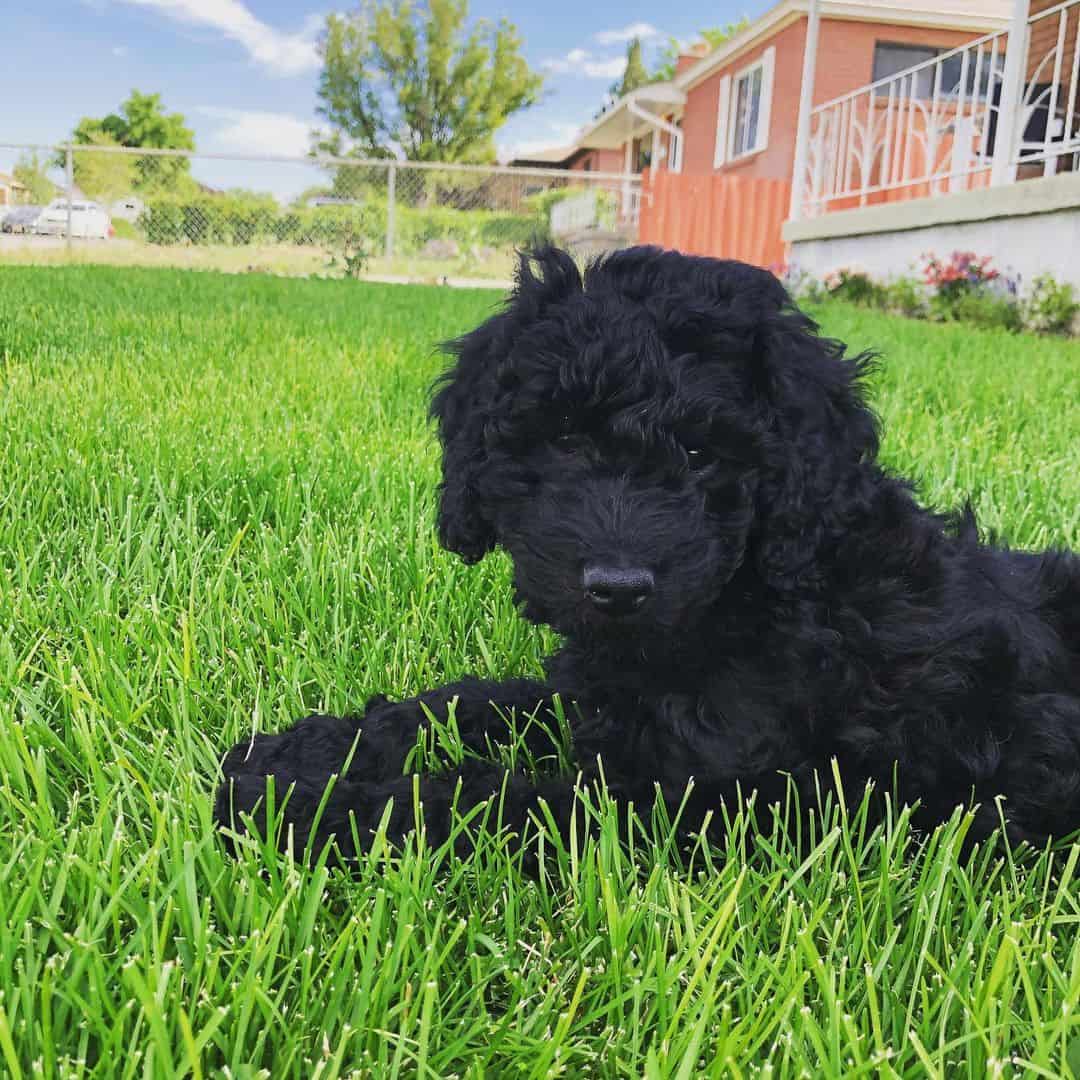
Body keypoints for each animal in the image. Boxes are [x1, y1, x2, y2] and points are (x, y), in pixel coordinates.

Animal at [212, 245, 1080, 859]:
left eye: (701, 456)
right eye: (564, 439)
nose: (618, 587)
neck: (771, 591)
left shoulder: (722, 799)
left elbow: (499, 801)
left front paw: (297, 804)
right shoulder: (603, 690)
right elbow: (477, 699)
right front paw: (307, 750)